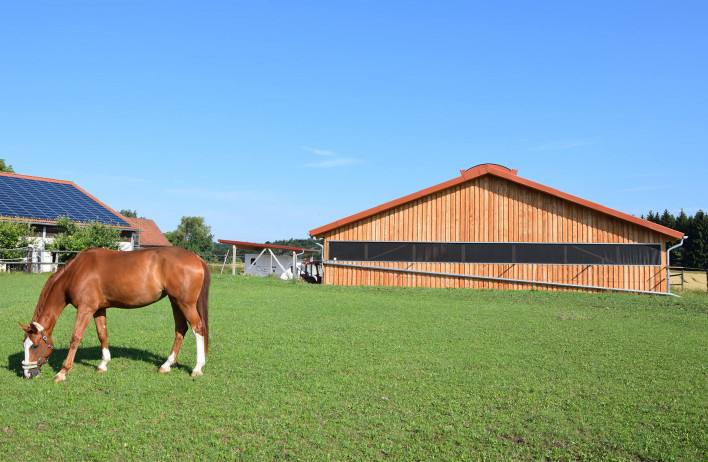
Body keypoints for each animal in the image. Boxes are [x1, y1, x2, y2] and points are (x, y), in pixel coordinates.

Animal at [20, 247, 210, 380]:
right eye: (24, 344)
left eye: (35, 346)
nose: (27, 373)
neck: (75, 272)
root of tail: (197, 258)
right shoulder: (98, 309)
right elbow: (102, 334)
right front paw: (103, 364)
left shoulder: (85, 309)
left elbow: (75, 338)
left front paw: (62, 372)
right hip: (175, 301)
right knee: (181, 329)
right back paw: (166, 365)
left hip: (185, 304)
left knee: (198, 328)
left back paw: (197, 368)